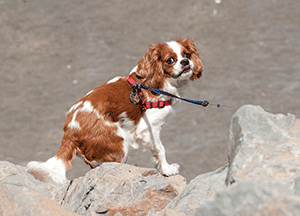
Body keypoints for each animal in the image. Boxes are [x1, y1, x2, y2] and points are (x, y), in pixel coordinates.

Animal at [26, 38, 204, 183]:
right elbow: (160, 149)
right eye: (170, 60)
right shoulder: (149, 128)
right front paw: (167, 169)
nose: (185, 62)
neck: (156, 82)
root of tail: (69, 131)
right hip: (119, 142)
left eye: (187, 54)